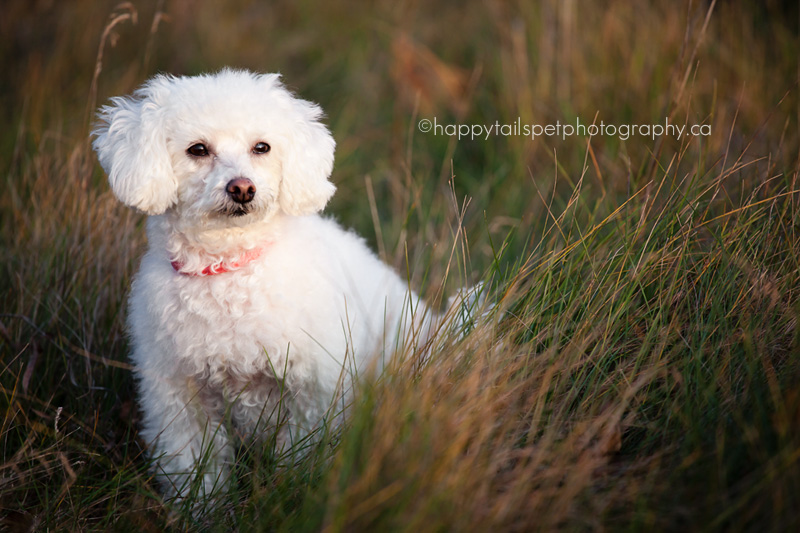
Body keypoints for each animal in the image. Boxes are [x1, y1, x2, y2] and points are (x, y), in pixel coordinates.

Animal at [94, 68, 482, 500]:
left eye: (261, 147)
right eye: (198, 149)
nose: (242, 188)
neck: (231, 270)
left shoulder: (313, 392)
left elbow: (298, 461)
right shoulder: (179, 398)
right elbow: (198, 475)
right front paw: (204, 511)